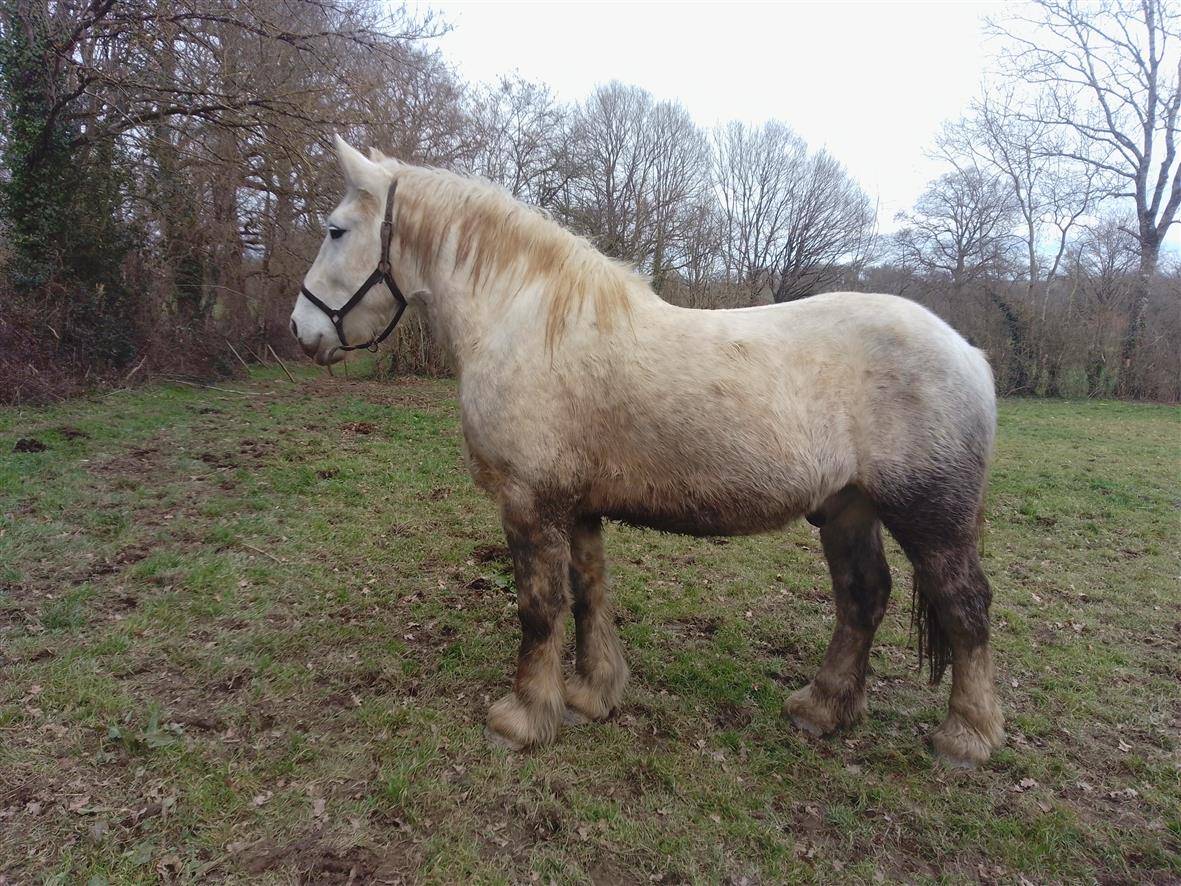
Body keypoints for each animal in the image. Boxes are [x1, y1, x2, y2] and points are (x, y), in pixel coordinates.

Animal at [289, 135, 1005, 768]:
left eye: (335, 230)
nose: (302, 329)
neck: (528, 322)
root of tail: (969, 352)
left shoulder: (529, 503)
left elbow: (539, 608)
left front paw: (523, 718)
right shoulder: (576, 505)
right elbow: (588, 593)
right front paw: (590, 695)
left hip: (931, 517)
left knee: (965, 606)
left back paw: (965, 738)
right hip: (848, 507)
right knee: (863, 597)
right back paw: (822, 708)